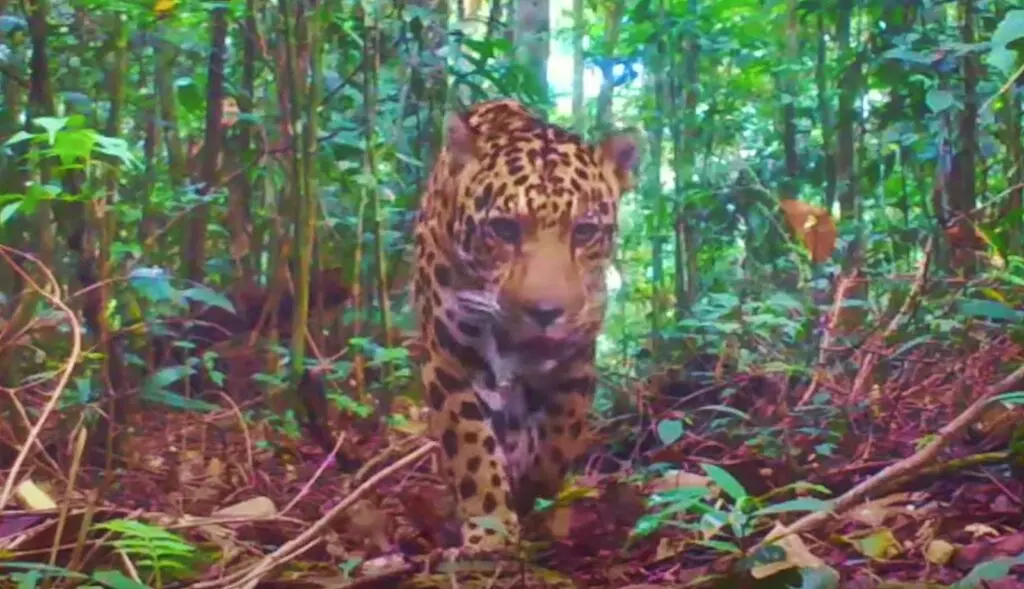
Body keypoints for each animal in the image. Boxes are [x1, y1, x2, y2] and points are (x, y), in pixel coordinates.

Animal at [412, 98, 639, 555]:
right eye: (503, 229)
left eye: (584, 231)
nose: (545, 311)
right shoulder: (449, 359)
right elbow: (471, 449)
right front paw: (490, 530)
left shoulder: (576, 359)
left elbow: (557, 438)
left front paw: (538, 496)